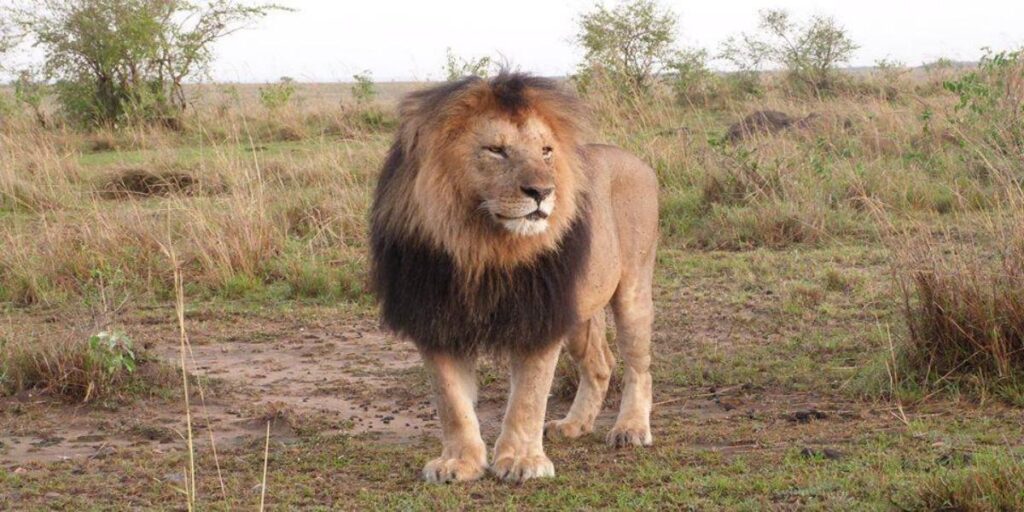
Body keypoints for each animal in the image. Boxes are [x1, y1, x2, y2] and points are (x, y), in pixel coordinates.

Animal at [370, 73, 658, 483]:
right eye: (496, 150)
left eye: (546, 151)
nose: (543, 191)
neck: (481, 247)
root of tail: (638, 161)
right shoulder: (435, 319)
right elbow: (451, 402)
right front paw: (459, 463)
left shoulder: (539, 316)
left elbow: (528, 397)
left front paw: (522, 461)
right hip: (579, 310)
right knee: (601, 364)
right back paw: (573, 425)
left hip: (632, 290)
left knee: (638, 366)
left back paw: (630, 428)